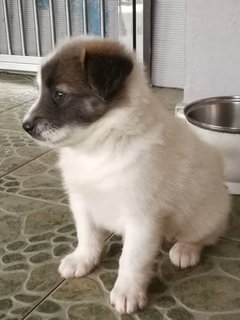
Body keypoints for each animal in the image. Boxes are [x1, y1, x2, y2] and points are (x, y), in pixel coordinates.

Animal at [23, 37, 231, 312]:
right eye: (39, 91)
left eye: (60, 94)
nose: (25, 126)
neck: (100, 145)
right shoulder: (82, 202)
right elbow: (87, 236)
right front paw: (82, 260)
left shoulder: (142, 218)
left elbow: (132, 260)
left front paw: (127, 292)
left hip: (203, 217)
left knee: (205, 236)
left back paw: (185, 250)